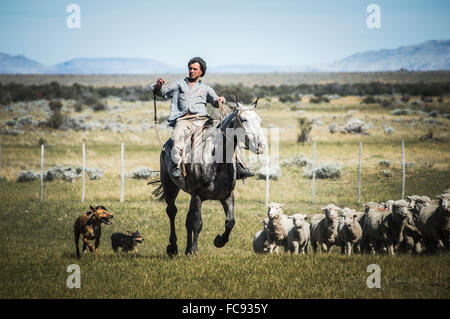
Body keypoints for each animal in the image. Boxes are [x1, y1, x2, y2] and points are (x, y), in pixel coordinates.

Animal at [153, 100, 268, 258]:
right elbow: (197, 223)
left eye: (259, 120)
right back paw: (173, 247)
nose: (260, 146)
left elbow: (230, 221)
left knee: (187, 219)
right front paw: (195, 250)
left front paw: (219, 241)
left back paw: (187, 249)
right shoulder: (197, 196)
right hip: (170, 186)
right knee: (172, 212)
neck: (216, 162)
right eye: (244, 119)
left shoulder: (227, 196)